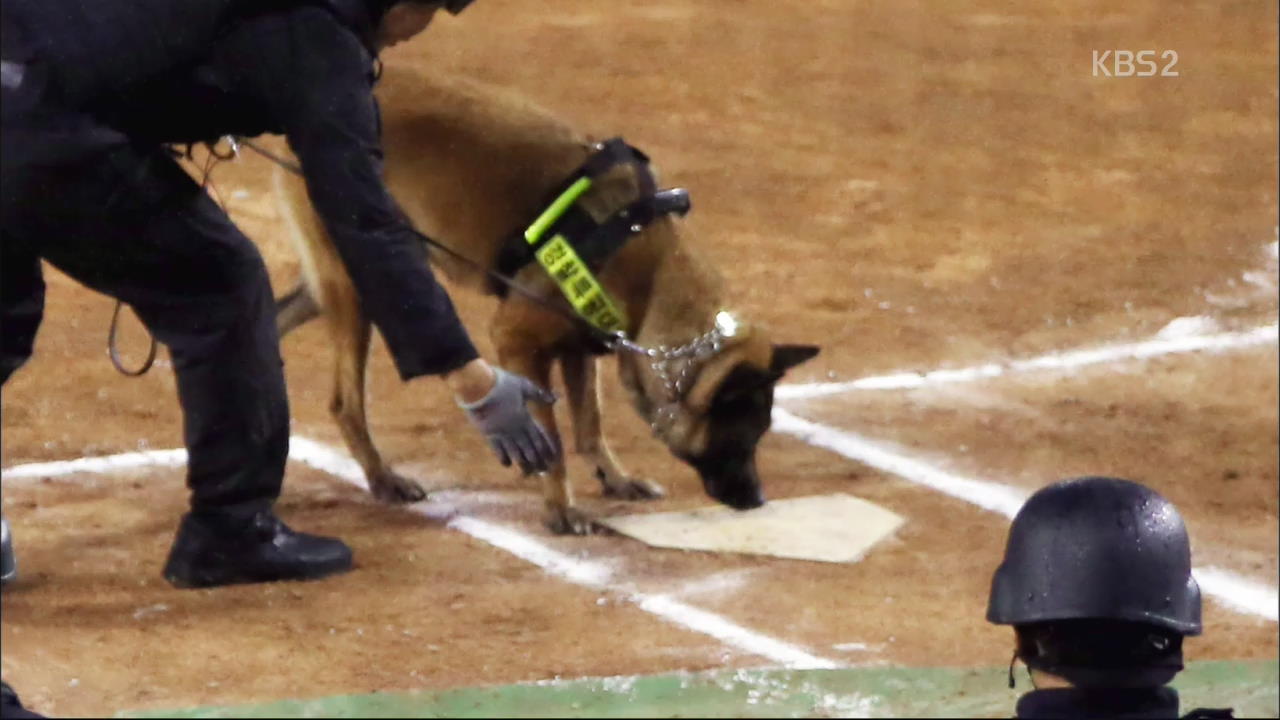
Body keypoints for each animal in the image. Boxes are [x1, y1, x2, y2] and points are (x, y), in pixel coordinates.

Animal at [272, 65, 819, 532]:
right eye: (744, 436)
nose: (757, 500)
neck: (646, 262)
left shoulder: (580, 345)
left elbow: (589, 423)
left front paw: (615, 478)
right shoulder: (516, 340)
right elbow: (550, 439)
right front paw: (560, 509)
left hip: (353, 279)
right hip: (359, 281)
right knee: (345, 403)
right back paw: (382, 478)